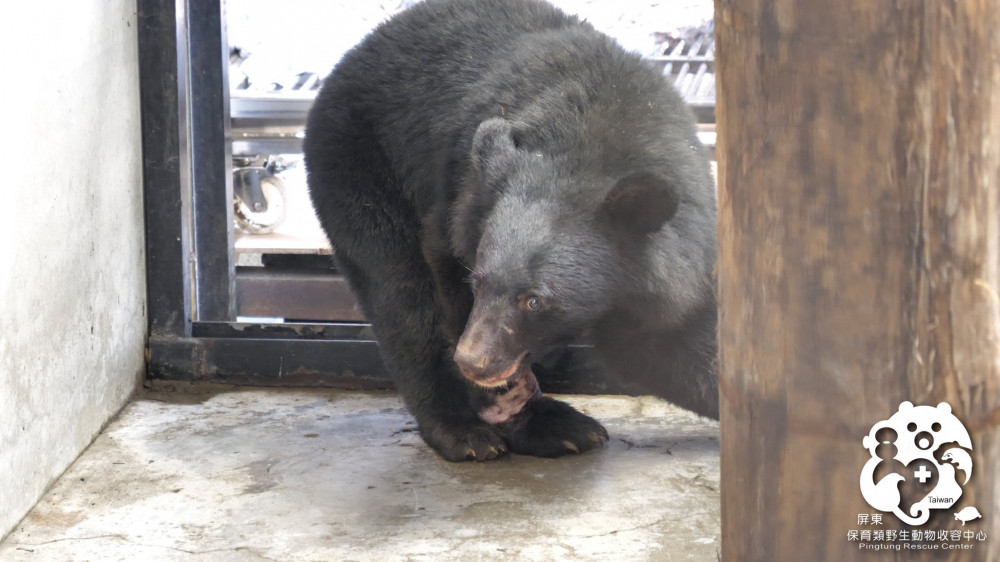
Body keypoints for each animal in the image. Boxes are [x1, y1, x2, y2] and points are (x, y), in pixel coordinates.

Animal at [304, 0, 720, 460]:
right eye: (479, 282)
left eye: (535, 301)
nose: (473, 361)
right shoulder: (459, 202)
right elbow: (440, 282)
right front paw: (492, 403)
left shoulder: (658, 273)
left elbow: (671, 343)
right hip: (360, 168)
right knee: (400, 295)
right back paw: (472, 431)